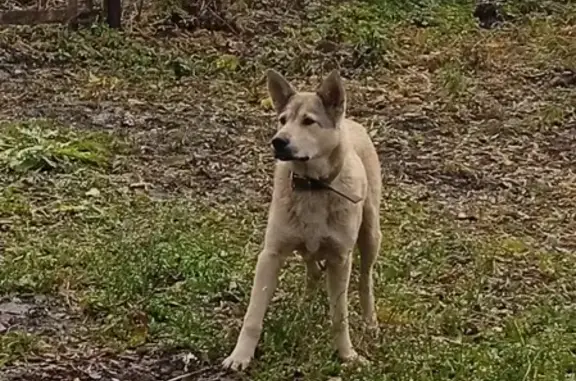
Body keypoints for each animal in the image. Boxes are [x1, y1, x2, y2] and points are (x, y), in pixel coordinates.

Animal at [223, 67, 380, 368]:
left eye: (309, 121)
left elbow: (339, 316)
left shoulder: (341, 259)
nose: (278, 141)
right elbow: (253, 315)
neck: (313, 187)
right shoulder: (270, 255)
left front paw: (347, 355)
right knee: (313, 272)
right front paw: (240, 356)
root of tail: (352, 122)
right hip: (307, 247)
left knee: (365, 281)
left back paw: (370, 323)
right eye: (282, 120)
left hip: (370, 236)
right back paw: (304, 309)